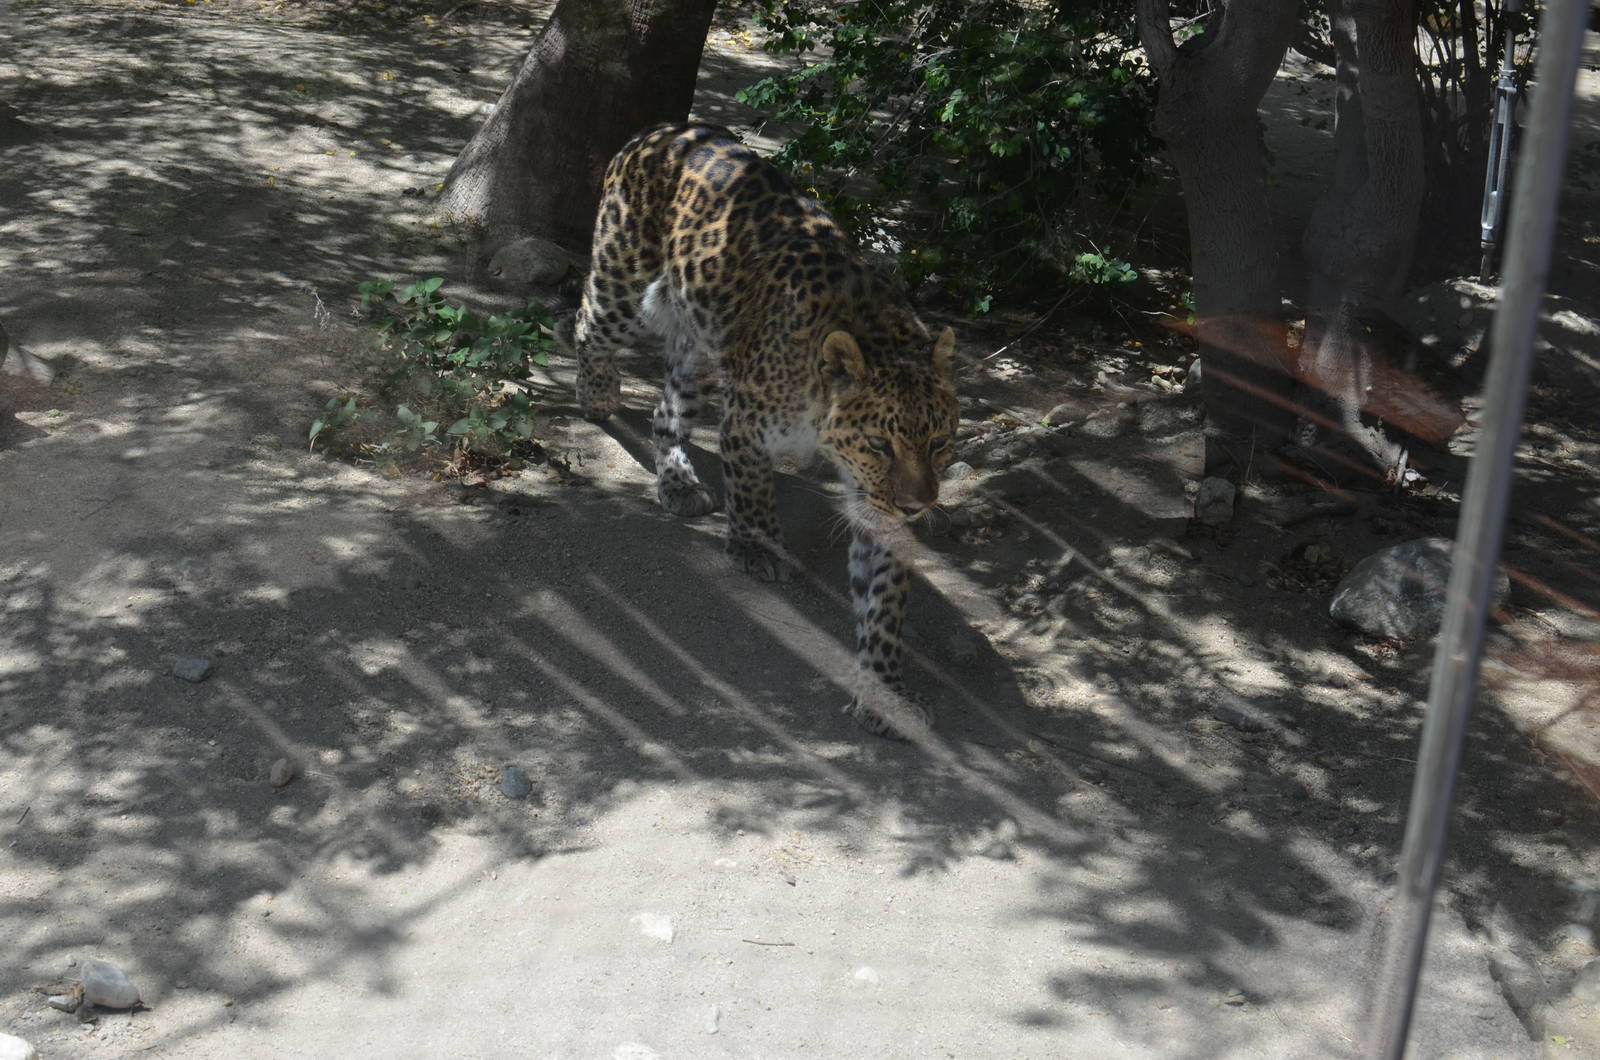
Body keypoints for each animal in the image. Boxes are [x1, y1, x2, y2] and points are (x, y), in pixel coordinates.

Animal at [572, 124, 959, 740]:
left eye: (938, 443)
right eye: (880, 445)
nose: (916, 506)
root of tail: (661, 131)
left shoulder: (872, 501)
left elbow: (885, 601)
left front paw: (884, 689)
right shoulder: (747, 426)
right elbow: (752, 494)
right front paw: (757, 549)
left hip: (701, 342)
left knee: (666, 413)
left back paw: (678, 482)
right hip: (624, 287)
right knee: (584, 319)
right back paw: (596, 391)